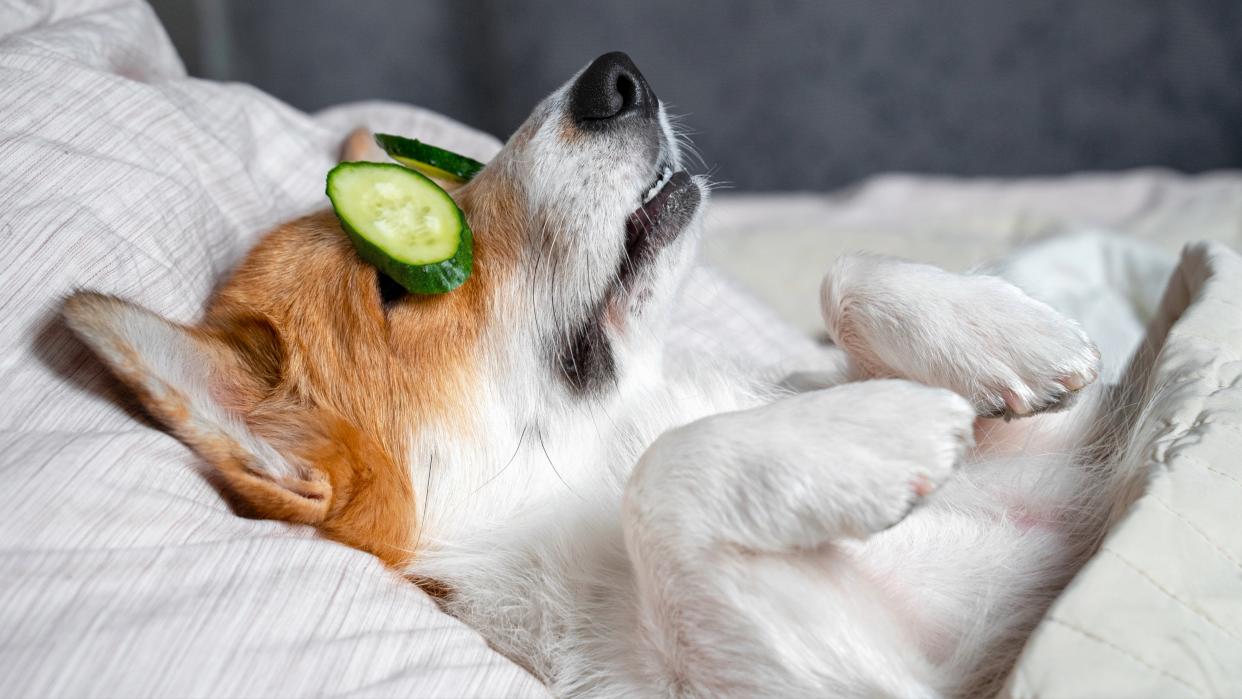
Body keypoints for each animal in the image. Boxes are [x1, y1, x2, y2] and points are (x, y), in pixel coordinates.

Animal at [65, 51, 1137, 695]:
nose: (616, 76)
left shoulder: (1062, 472)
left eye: (448, 174)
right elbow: (664, 479)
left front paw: (1009, 336)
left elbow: (844, 281)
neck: (609, 437)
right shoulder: (853, 680)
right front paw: (876, 431)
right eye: (398, 279)